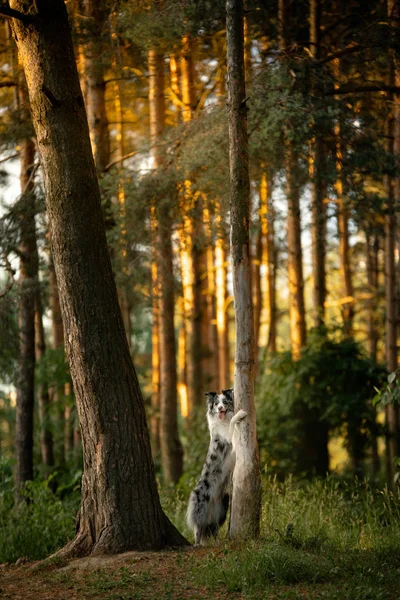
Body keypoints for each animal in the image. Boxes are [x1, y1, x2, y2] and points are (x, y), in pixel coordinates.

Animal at [187, 386, 247, 548]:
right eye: (215, 404)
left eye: (225, 402)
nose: (220, 408)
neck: (223, 420)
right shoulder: (230, 438)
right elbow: (233, 421)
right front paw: (241, 414)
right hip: (199, 505)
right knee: (198, 527)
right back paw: (197, 544)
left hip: (222, 507)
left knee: (213, 529)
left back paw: (218, 542)